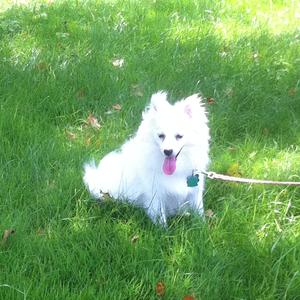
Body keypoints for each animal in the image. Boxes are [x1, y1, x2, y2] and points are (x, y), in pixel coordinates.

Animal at [83, 91, 210, 225]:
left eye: (179, 136)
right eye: (161, 136)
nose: (167, 151)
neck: (176, 171)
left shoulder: (195, 192)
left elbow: (199, 211)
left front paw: (201, 225)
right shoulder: (156, 194)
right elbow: (160, 217)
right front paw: (163, 229)